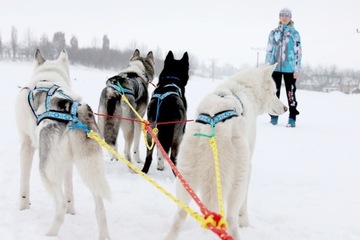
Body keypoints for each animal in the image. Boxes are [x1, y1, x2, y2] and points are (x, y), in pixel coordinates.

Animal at [15, 49, 111, 239]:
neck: (48, 76)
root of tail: (77, 110)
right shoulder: (68, 164)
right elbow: (70, 194)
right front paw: (72, 211)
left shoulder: (26, 145)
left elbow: (24, 186)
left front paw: (23, 208)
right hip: (88, 168)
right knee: (100, 209)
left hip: (46, 172)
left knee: (60, 206)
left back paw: (50, 233)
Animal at [165, 63, 286, 240]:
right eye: (274, 92)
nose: (285, 108)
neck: (243, 88)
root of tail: (214, 130)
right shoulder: (248, 168)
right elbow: (244, 206)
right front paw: (245, 222)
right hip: (236, 182)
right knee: (230, 218)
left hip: (185, 179)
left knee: (179, 216)